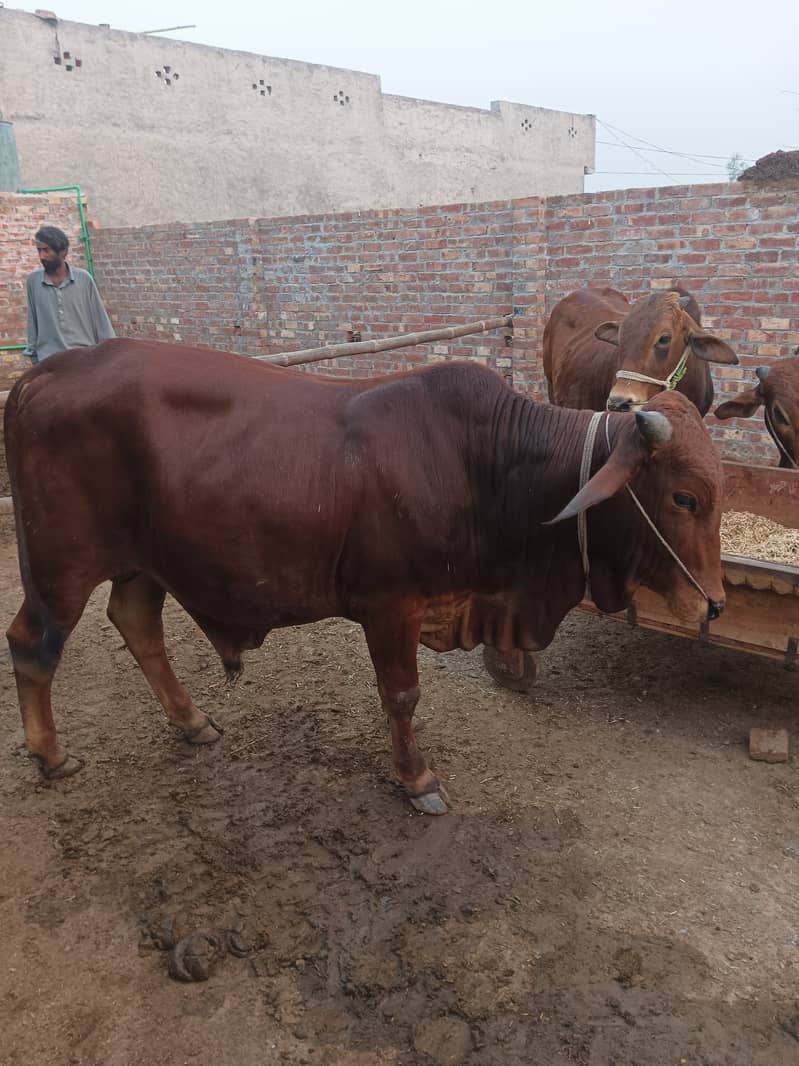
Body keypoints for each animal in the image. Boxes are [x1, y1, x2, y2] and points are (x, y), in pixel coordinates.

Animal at [6, 341, 728, 814]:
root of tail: (46, 370)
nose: (713, 606)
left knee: (136, 624)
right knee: (32, 644)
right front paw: (416, 779)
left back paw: (192, 721)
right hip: (61, 567)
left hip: (142, 562)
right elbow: (402, 697)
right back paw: (51, 753)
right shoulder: (391, 606)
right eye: (684, 497)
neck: (486, 463)